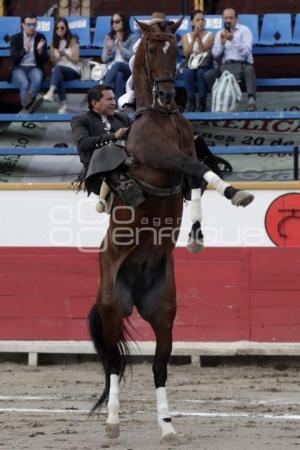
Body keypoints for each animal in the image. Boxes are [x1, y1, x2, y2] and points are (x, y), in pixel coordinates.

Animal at [88, 18, 253, 442]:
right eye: (150, 49)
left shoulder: (188, 154)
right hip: (111, 308)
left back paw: (167, 427)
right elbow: (195, 169)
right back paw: (113, 422)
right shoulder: (163, 156)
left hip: (164, 314)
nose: (166, 95)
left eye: (175, 48)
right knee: (114, 364)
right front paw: (236, 194)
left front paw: (198, 232)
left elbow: (198, 175)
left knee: (158, 367)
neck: (160, 117)